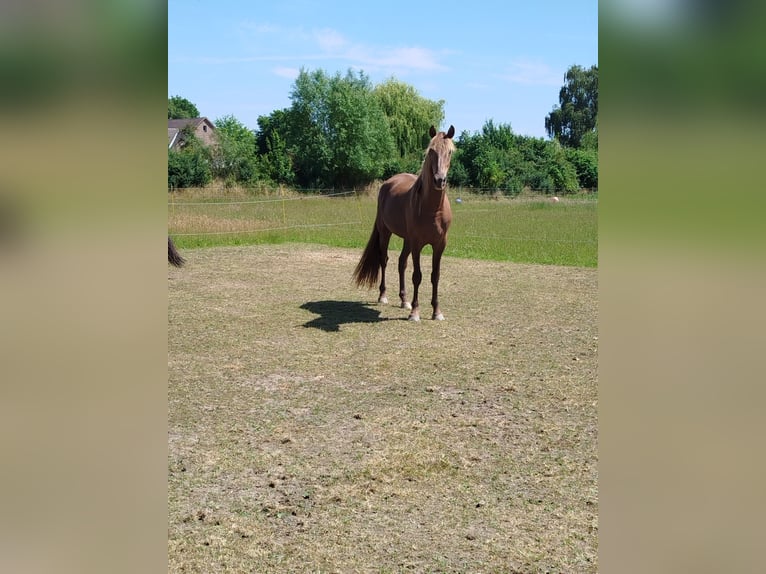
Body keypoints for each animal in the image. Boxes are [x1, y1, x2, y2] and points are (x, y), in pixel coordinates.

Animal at [353, 125, 455, 321]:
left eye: (450, 152)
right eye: (431, 151)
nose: (440, 180)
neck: (432, 209)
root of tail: (389, 182)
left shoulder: (440, 244)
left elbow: (435, 276)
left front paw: (436, 311)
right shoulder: (417, 243)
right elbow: (417, 276)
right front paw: (415, 312)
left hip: (407, 239)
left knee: (402, 263)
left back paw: (404, 300)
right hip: (386, 232)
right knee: (384, 260)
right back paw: (383, 296)